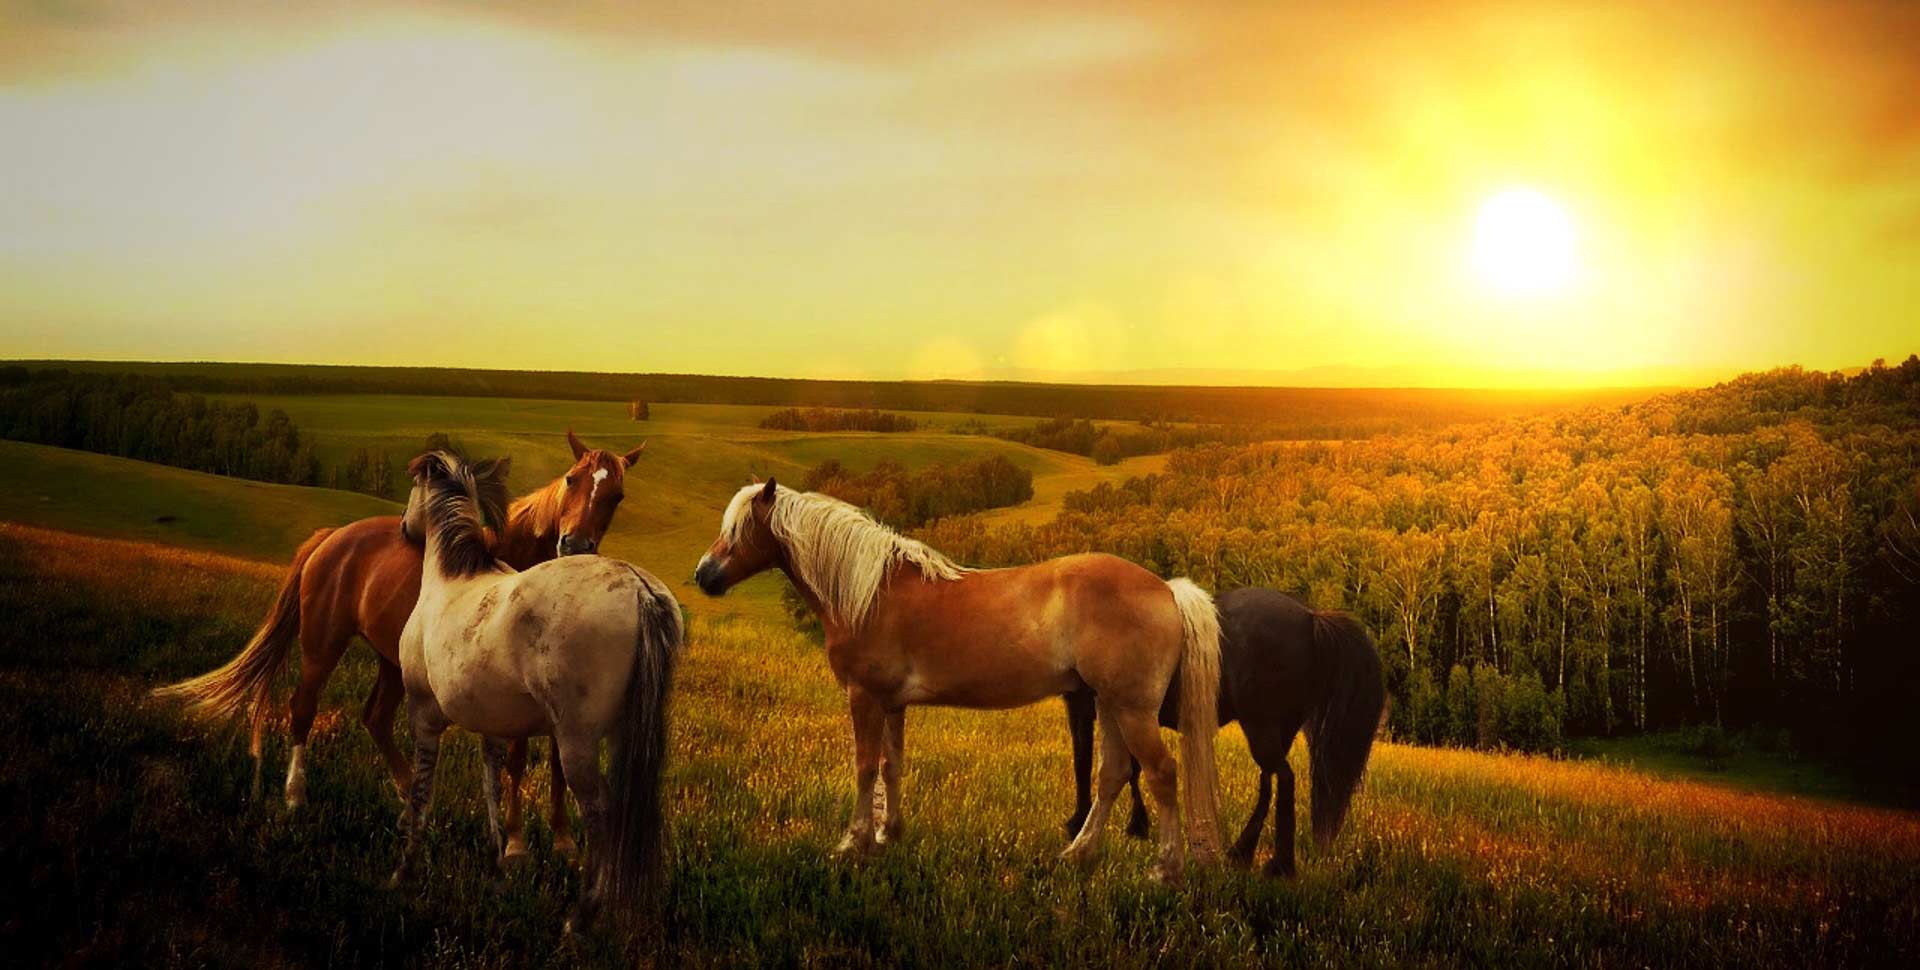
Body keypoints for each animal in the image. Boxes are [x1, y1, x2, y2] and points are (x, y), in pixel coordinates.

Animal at [151, 434, 645, 856]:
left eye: (617, 496)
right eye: (572, 479)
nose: (573, 544)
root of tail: (332, 537)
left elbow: (557, 761)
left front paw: (563, 843)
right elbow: (519, 758)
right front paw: (516, 844)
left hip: (392, 662)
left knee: (375, 717)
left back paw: (413, 805)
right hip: (322, 644)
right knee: (303, 707)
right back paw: (296, 796)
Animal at [698, 480, 1221, 879]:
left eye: (740, 529)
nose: (704, 575)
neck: (870, 593)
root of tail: (1166, 589)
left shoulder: (864, 697)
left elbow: (865, 768)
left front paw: (853, 843)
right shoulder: (892, 703)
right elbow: (891, 765)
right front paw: (889, 835)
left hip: (1132, 710)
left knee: (1161, 773)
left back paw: (1165, 869)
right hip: (1107, 704)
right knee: (1112, 775)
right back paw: (1077, 854)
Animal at [1067, 587, 1382, 872]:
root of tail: (1311, 617)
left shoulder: (1088, 707)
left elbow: (1085, 762)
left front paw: (1079, 824)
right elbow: (1130, 768)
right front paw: (1137, 825)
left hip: (1262, 727)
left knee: (1284, 778)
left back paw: (1278, 864)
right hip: (1276, 732)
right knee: (1269, 780)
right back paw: (1241, 852)